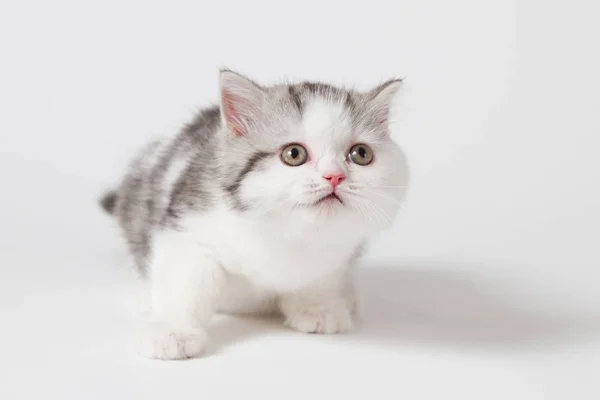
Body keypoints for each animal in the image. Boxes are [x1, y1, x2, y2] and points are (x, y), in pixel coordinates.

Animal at [101, 69, 410, 360]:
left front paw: (317, 307)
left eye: (361, 154)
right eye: (294, 154)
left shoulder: (337, 253)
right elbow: (184, 281)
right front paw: (172, 332)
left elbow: (319, 277)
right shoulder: (189, 227)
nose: (334, 176)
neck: (283, 231)